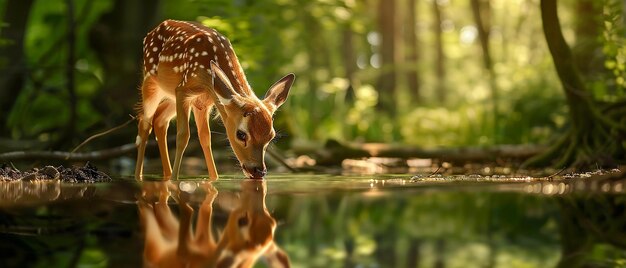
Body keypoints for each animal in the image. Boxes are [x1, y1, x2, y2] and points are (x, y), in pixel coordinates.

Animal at [133, 20, 294, 180]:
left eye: (271, 136)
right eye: (241, 134)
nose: (258, 171)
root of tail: (151, 32)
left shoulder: (204, 102)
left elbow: (205, 138)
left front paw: (214, 179)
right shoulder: (183, 90)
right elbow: (183, 136)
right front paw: (175, 180)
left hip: (171, 97)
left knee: (160, 120)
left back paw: (165, 176)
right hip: (151, 81)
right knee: (145, 123)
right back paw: (139, 176)